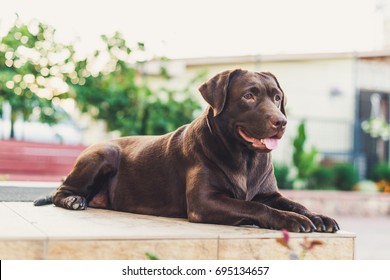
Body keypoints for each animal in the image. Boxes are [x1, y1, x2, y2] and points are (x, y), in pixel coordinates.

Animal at [34, 69, 338, 233]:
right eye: (249, 96)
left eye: (277, 97)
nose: (281, 121)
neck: (245, 158)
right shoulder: (204, 201)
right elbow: (253, 205)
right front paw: (290, 220)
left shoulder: (271, 193)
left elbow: (293, 202)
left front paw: (318, 216)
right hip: (103, 153)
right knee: (62, 189)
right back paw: (73, 200)